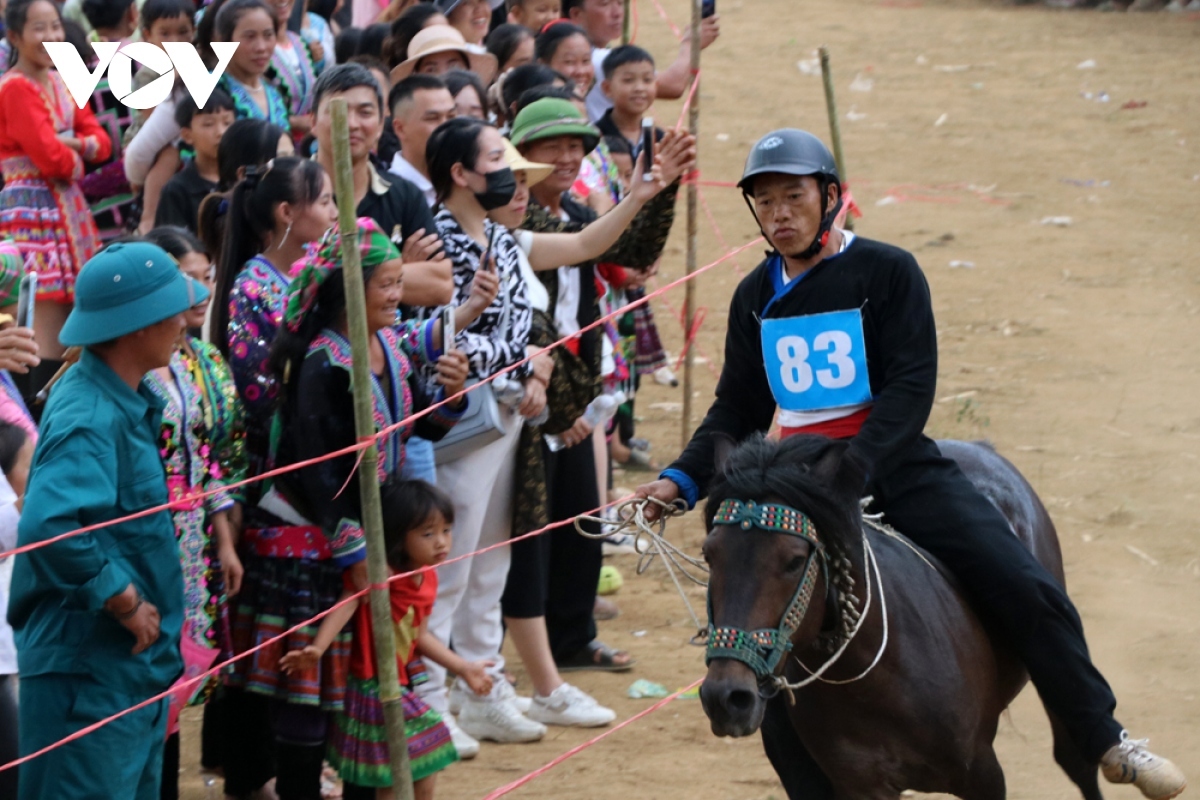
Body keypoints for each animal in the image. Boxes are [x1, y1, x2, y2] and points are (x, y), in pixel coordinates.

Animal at [700, 438, 1099, 800]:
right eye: (709, 554)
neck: (878, 676)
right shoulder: (862, 786)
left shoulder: (982, 772)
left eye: (795, 560)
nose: (726, 697)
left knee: (1077, 756)